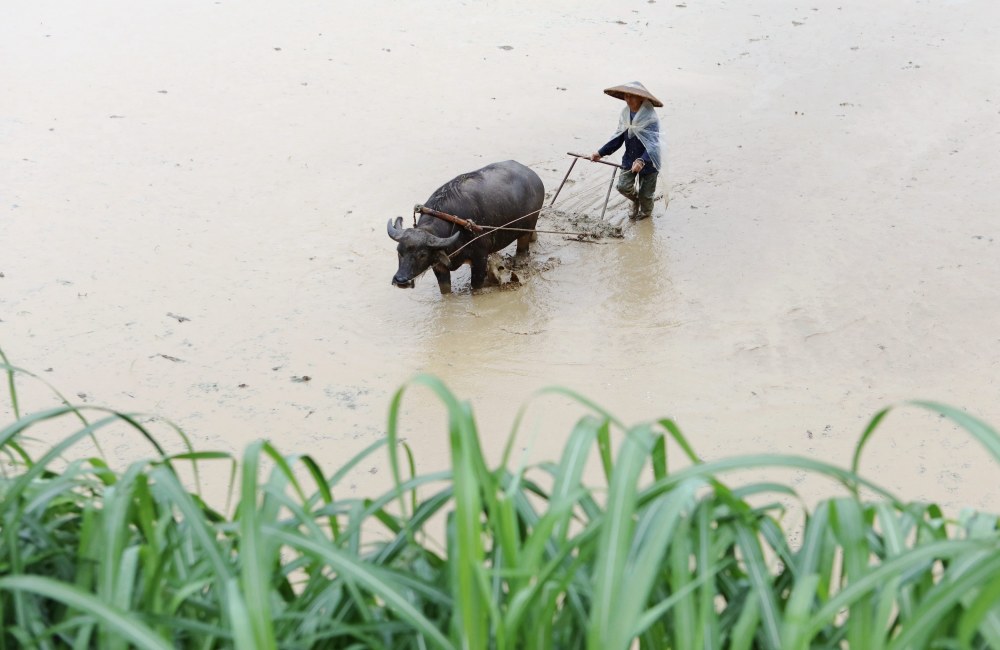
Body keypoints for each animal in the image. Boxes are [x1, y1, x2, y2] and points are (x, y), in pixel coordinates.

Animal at [386, 159, 544, 292]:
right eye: (399, 251)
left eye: (422, 254)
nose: (401, 280)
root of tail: (534, 177)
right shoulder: (440, 267)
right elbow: (445, 289)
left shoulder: (480, 259)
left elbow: (476, 286)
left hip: (526, 228)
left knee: (523, 247)